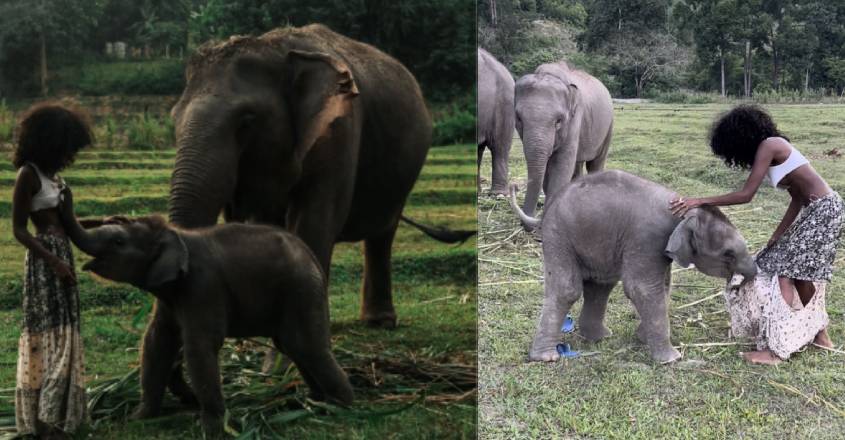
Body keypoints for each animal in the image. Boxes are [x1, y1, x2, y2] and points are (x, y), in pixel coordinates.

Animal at [59, 193, 352, 438]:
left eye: (119, 242)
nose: (62, 192)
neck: (174, 234)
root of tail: (312, 257)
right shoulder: (170, 296)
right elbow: (155, 343)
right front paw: (138, 418)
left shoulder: (203, 286)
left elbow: (199, 347)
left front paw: (212, 428)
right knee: (292, 346)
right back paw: (315, 400)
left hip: (300, 290)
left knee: (306, 345)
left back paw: (341, 406)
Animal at [167, 23, 472, 332]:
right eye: (174, 118)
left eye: (247, 121)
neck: (278, 49)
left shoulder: (340, 127)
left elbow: (314, 219)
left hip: (404, 173)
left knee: (383, 232)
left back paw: (380, 322)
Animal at [509, 170, 757, 364]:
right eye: (728, 254)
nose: (739, 284)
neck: (681, 211)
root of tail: (546, 209)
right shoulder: (647, 238)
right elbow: (642, 288)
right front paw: (672, 359)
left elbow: (663, 285)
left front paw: (643, 338)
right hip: (558, 235)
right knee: (567, 288)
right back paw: (547, 357)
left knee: (600, 286)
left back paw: (599, 337)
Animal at [514, 61, 614, 227]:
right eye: (519, 119)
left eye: (559, 121)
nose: (514, 187)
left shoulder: (575, 120)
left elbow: (561, 166)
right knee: (577, 166)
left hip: (608, 127)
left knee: (595, 163)